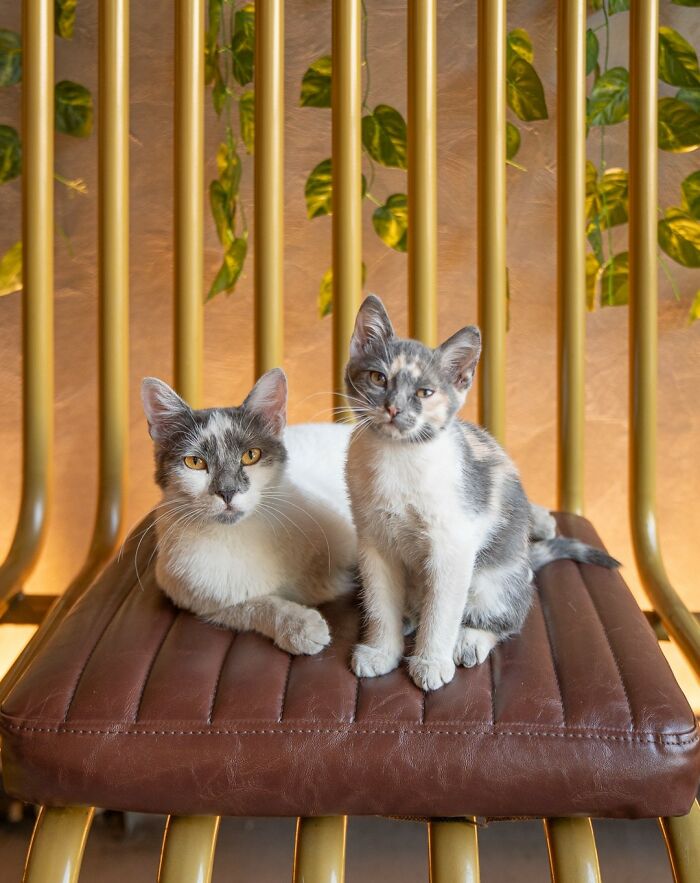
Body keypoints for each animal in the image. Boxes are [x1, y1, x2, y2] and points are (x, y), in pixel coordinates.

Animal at [140, 368, 356, 656]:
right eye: (195, 462)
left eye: (250, 455)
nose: (227, 491)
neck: (239, 535)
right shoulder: (199, 597)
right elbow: (253, 606)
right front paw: (299, 626)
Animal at [344, 296, 616, 692]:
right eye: (378, 378)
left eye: (424, 392)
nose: (394, 408)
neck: (397, 458)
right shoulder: (373, 541)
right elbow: (380, 602)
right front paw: (381, 651)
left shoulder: (453, 545)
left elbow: (443, 611)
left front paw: (431, 662)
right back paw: (408, 616)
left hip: (494, 580)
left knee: (507, 617)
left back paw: (469, 640)